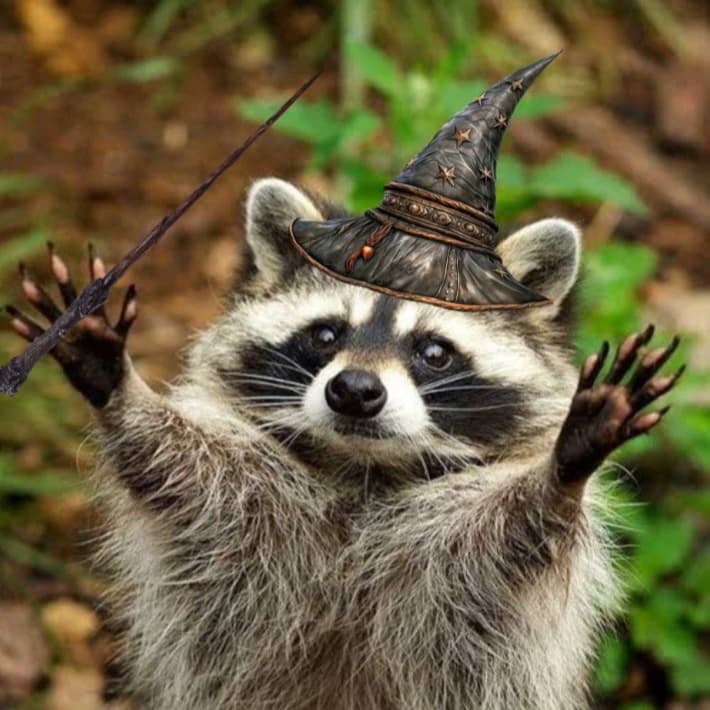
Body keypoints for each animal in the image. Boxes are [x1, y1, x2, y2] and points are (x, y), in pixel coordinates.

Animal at [8, 178, 681, 710]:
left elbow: (515, 533)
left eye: (433, 351)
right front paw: (121, 392)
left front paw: (565, 468)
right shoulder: (247, 504)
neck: (363, 469)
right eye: (326, 334)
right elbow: (181, 469)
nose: (354, 391)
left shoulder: (464, 566)